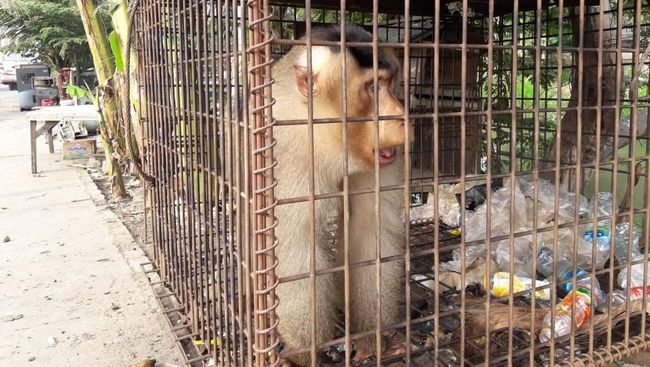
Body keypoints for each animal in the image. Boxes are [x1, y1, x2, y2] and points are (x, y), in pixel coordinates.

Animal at [268, 24, 410, 366]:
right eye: (372, 88)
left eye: (389, 84)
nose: (401, 116)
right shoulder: (288, 156)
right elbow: (297, 253)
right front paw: (306, 354)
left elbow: (370, 232)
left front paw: (372, 338)